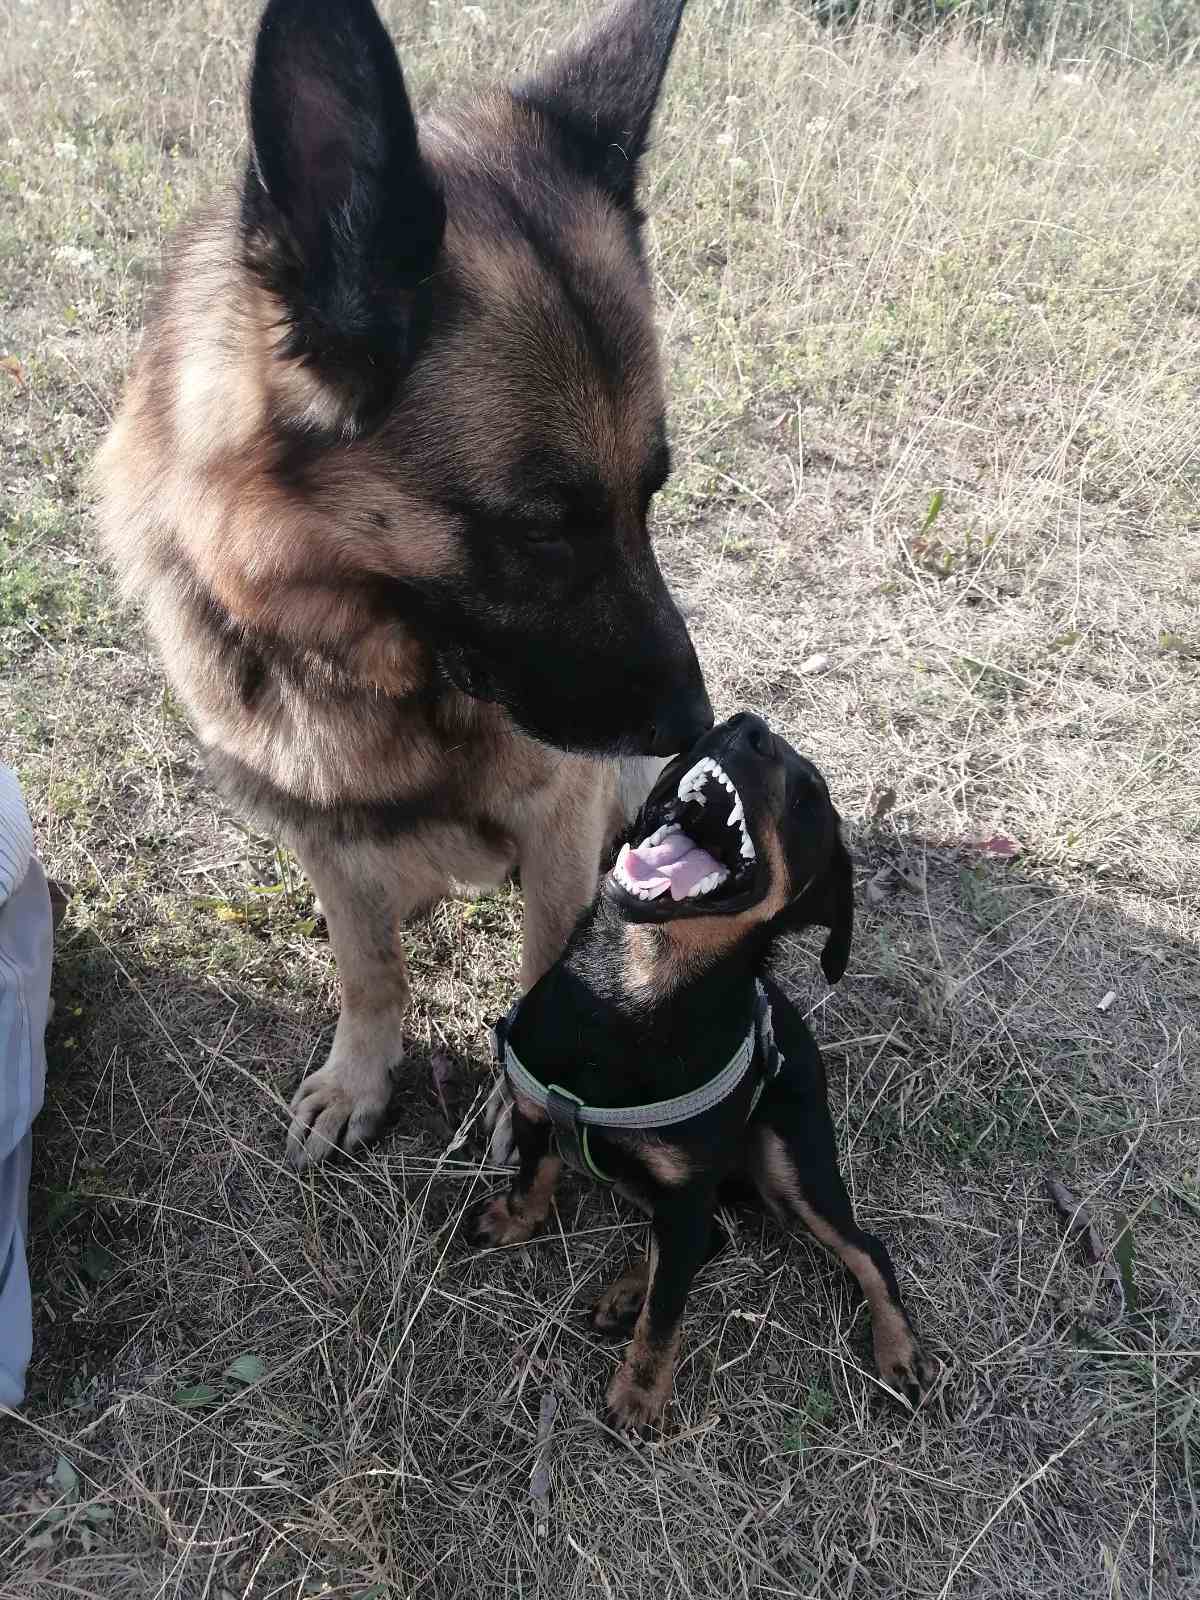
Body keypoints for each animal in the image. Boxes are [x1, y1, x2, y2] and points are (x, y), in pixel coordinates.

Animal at [96, 0, 713, 1164]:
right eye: (544, 529)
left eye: (649, 493)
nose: (696, 723)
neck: (372, 662)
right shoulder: (321, 825)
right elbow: (367, 964)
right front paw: (361, 1075)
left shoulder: (559, 820)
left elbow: (542, 967)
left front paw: (528, 1097)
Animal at [473, 720, 934, 1433]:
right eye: (722, 732)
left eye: (810, 796)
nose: (750, 729)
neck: (634, 987)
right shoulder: (535, 1109)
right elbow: (535, 1173)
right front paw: (515, 1220)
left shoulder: (686, 1192)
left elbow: (668, 1313)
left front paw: (640, 1394)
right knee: (707, 1237)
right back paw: (627, 1293)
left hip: (791, 1166)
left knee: (862, 1248)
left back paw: (899, 1349)